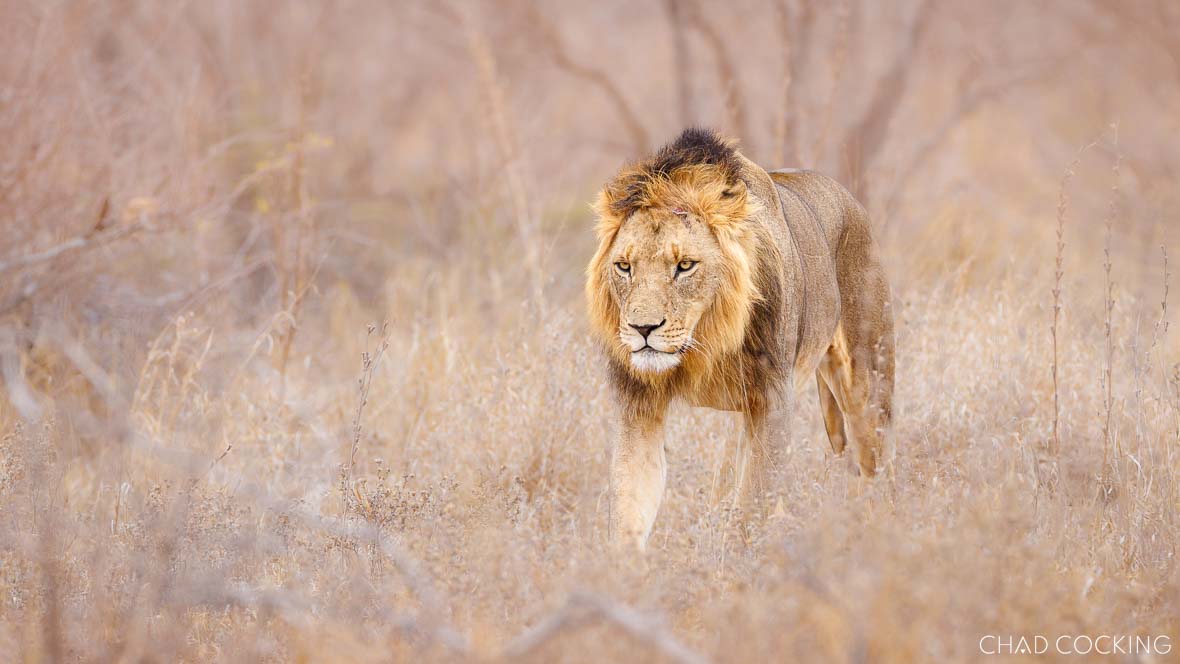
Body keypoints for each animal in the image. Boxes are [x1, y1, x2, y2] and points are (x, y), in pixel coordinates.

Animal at [586, 128, 895, 551]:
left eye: (685, 266)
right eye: (624, 267)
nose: (642, 329)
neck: (704, 342)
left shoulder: (773, 402)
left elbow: (754, 504)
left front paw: (740, 560)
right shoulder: (639, 409)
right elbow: (629, 508)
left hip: (868, 388)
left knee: (876, 465)